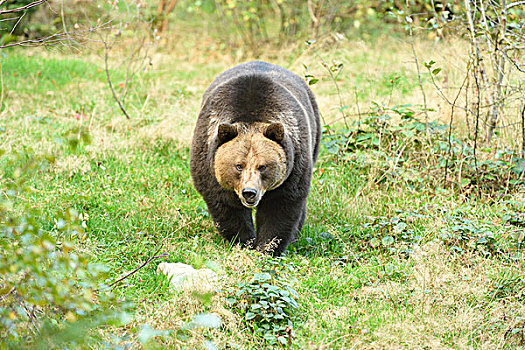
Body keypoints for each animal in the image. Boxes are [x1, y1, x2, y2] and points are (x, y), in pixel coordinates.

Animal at [188, 61, 320, 256]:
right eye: (239, 165)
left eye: (263, 166)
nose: (249, 192)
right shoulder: (209, 164)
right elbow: (228, 208)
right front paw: (245, 242)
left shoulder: (293, 166)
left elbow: (279, 208)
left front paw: (268, 247)